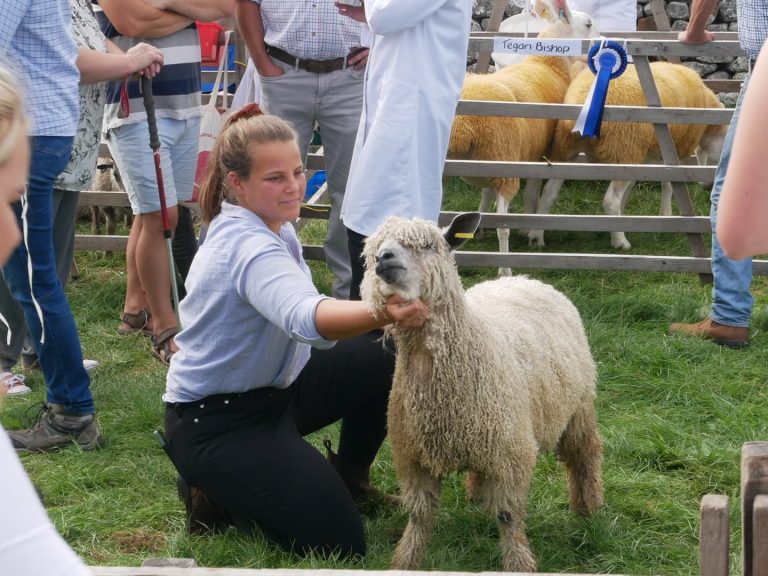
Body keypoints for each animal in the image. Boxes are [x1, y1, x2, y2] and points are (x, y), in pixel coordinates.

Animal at [361, 212, 604, 572]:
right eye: (373, 250)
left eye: (428, 245)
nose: (383, 259)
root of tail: (523, 278)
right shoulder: (413, 457)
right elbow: (418, 518)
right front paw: (405, 561)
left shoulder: (510, 454)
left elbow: (507, 516)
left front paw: (519, 564)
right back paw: (476, 495)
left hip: (578, 405)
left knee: (584, 454)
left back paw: (588, 509)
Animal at [447, 0, 597, 276]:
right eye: (589, 24)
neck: (547, 64)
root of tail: (462, 126)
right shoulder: (537, 155)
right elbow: (533, 193)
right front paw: (530, 230)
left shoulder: (496, 163)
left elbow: (485, 195)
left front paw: (476, 228)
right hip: (504, 163)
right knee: (503, 227)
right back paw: (505, 270)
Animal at [528, 61, 728, 249]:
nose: (709, 186)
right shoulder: (667, 152)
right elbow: (667, 184)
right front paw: (665, 214)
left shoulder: (642, 157)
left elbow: (632, 187)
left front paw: (622, 219)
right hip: (623, 149)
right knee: (610, 200)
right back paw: (620, 242)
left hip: (570, 151)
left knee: (549, 192)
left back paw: (537, 235)